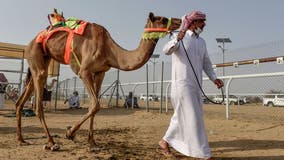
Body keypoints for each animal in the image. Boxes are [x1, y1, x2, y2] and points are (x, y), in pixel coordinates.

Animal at [15, 11, 181, 151]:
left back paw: (21, 139)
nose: (179, 21)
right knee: (38, 102)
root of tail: (29, 44)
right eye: (163, 19)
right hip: (35, 54)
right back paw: (51, 142)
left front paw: (92, 142)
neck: (109, 51)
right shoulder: (85, 71)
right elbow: (95, 104)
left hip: (43, 59)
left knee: (21, 100)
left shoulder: (100, 72)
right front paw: (70, 133)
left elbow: (93, 107)